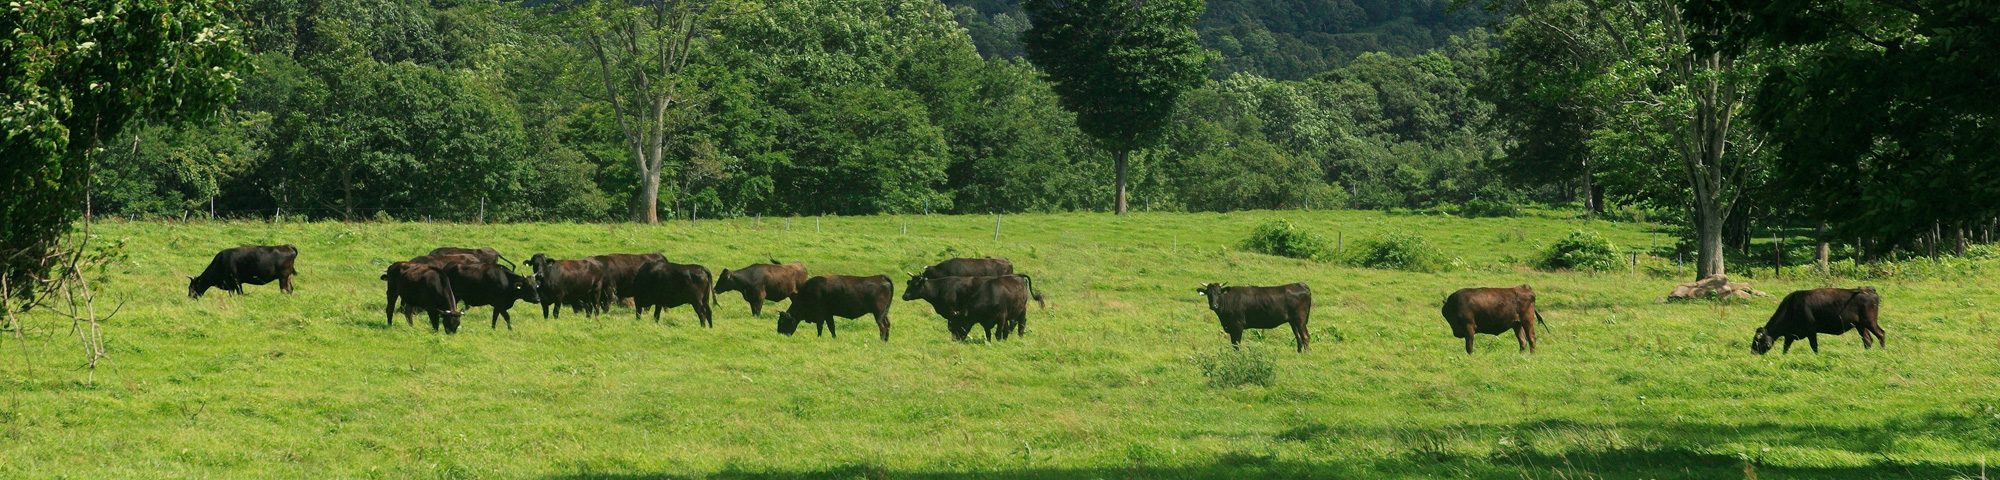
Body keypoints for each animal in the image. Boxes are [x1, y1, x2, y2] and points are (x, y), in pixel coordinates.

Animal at [908, 274, 1048, 342]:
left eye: (915, 285)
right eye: (908, 283)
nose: (905, 296)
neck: (941, 287)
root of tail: (1018, 276)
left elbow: (997, 332)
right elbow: (988, 333)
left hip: (1022, 309)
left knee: (1021, 322)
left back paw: (1020, 335)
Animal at [1192, 282, 1320, 352]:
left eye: (1219, 293)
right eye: (1208, 294)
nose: (1214, 305)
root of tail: (1300, 284)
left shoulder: (1238, 325)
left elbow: (1236, 344)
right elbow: (1233, 343)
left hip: (1300, 319)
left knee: (1305, 336)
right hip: (1293, 321)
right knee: (1298, 337)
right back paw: (1299, 352)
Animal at [1752, 286, 1888, 354]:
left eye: (1758, 340)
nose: (1752, 351)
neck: (1792, 306)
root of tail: (1868, 289)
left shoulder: (1811, 331)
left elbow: (1814, 346)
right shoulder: (1790, 335)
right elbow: (1785, 348)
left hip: (1870, 322)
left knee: (1881, 334)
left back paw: (1882, 351)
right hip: (1860, 325)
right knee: (1868, 340)